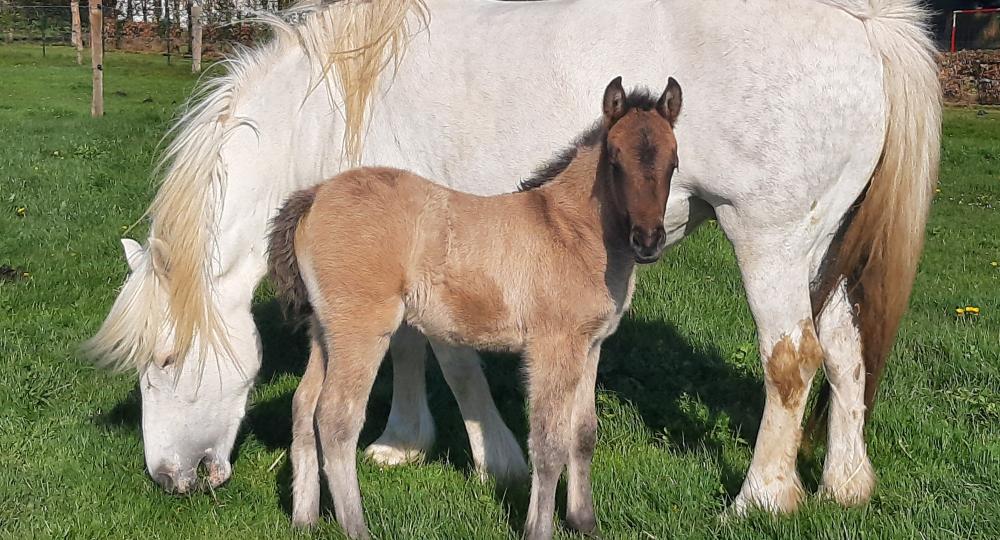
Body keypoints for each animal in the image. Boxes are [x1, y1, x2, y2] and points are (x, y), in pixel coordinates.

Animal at [84, 0, 936, 516]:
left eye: (165, 361)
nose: (166, 478)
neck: (333, 107)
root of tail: (863, 21)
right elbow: (409, 349)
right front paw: (404, 440)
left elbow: (454, 360)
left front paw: (497, 457)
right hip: (825, 248)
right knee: (846, 353)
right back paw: (845, 485)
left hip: (771, 239)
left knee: (792, 359)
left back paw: (760, 498)